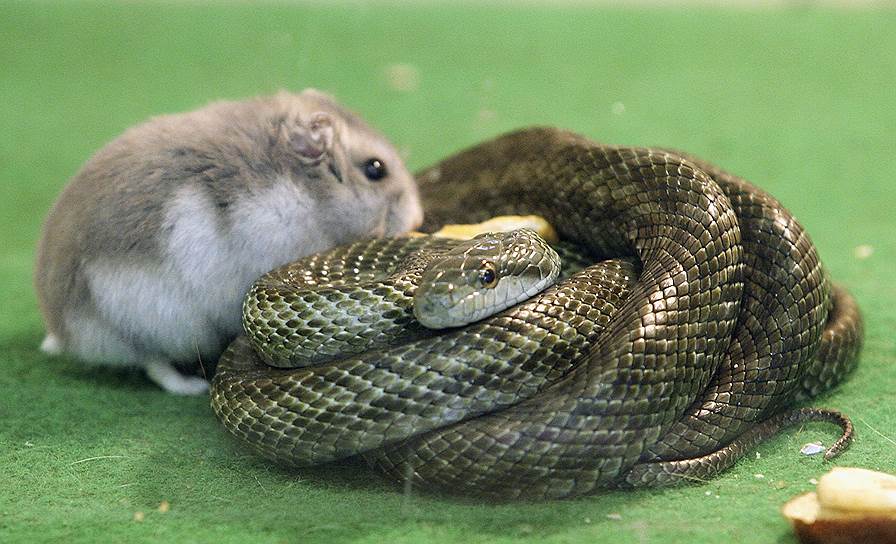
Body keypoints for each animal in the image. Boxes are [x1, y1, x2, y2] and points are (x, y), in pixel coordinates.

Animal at [34, 89, 424, 396]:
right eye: (376, 169)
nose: (417, 218)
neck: (308, 191)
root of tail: (64, 330)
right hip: (161, 323)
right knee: (154, 365)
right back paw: (193, 387)